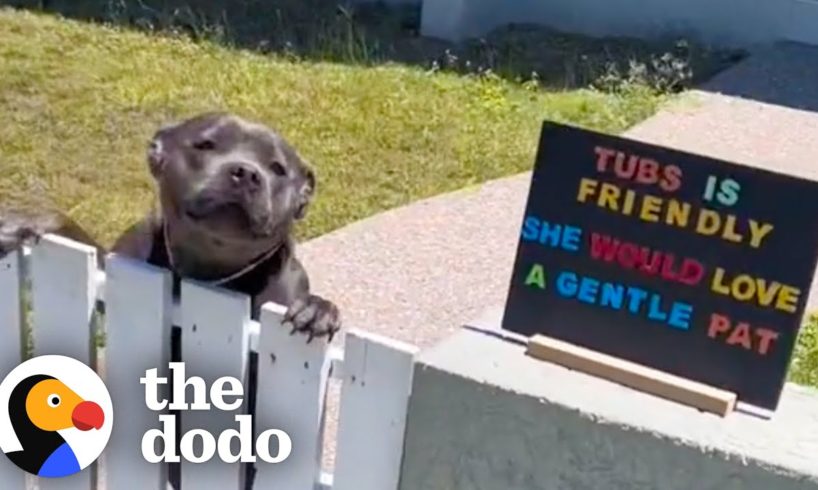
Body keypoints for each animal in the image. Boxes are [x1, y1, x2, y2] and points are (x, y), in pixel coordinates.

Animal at [0, 110, 340, 340]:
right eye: (205, 145)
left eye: (278, 169)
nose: (245, 172)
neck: (208, 271)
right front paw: (30, 220)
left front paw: (317, 307)